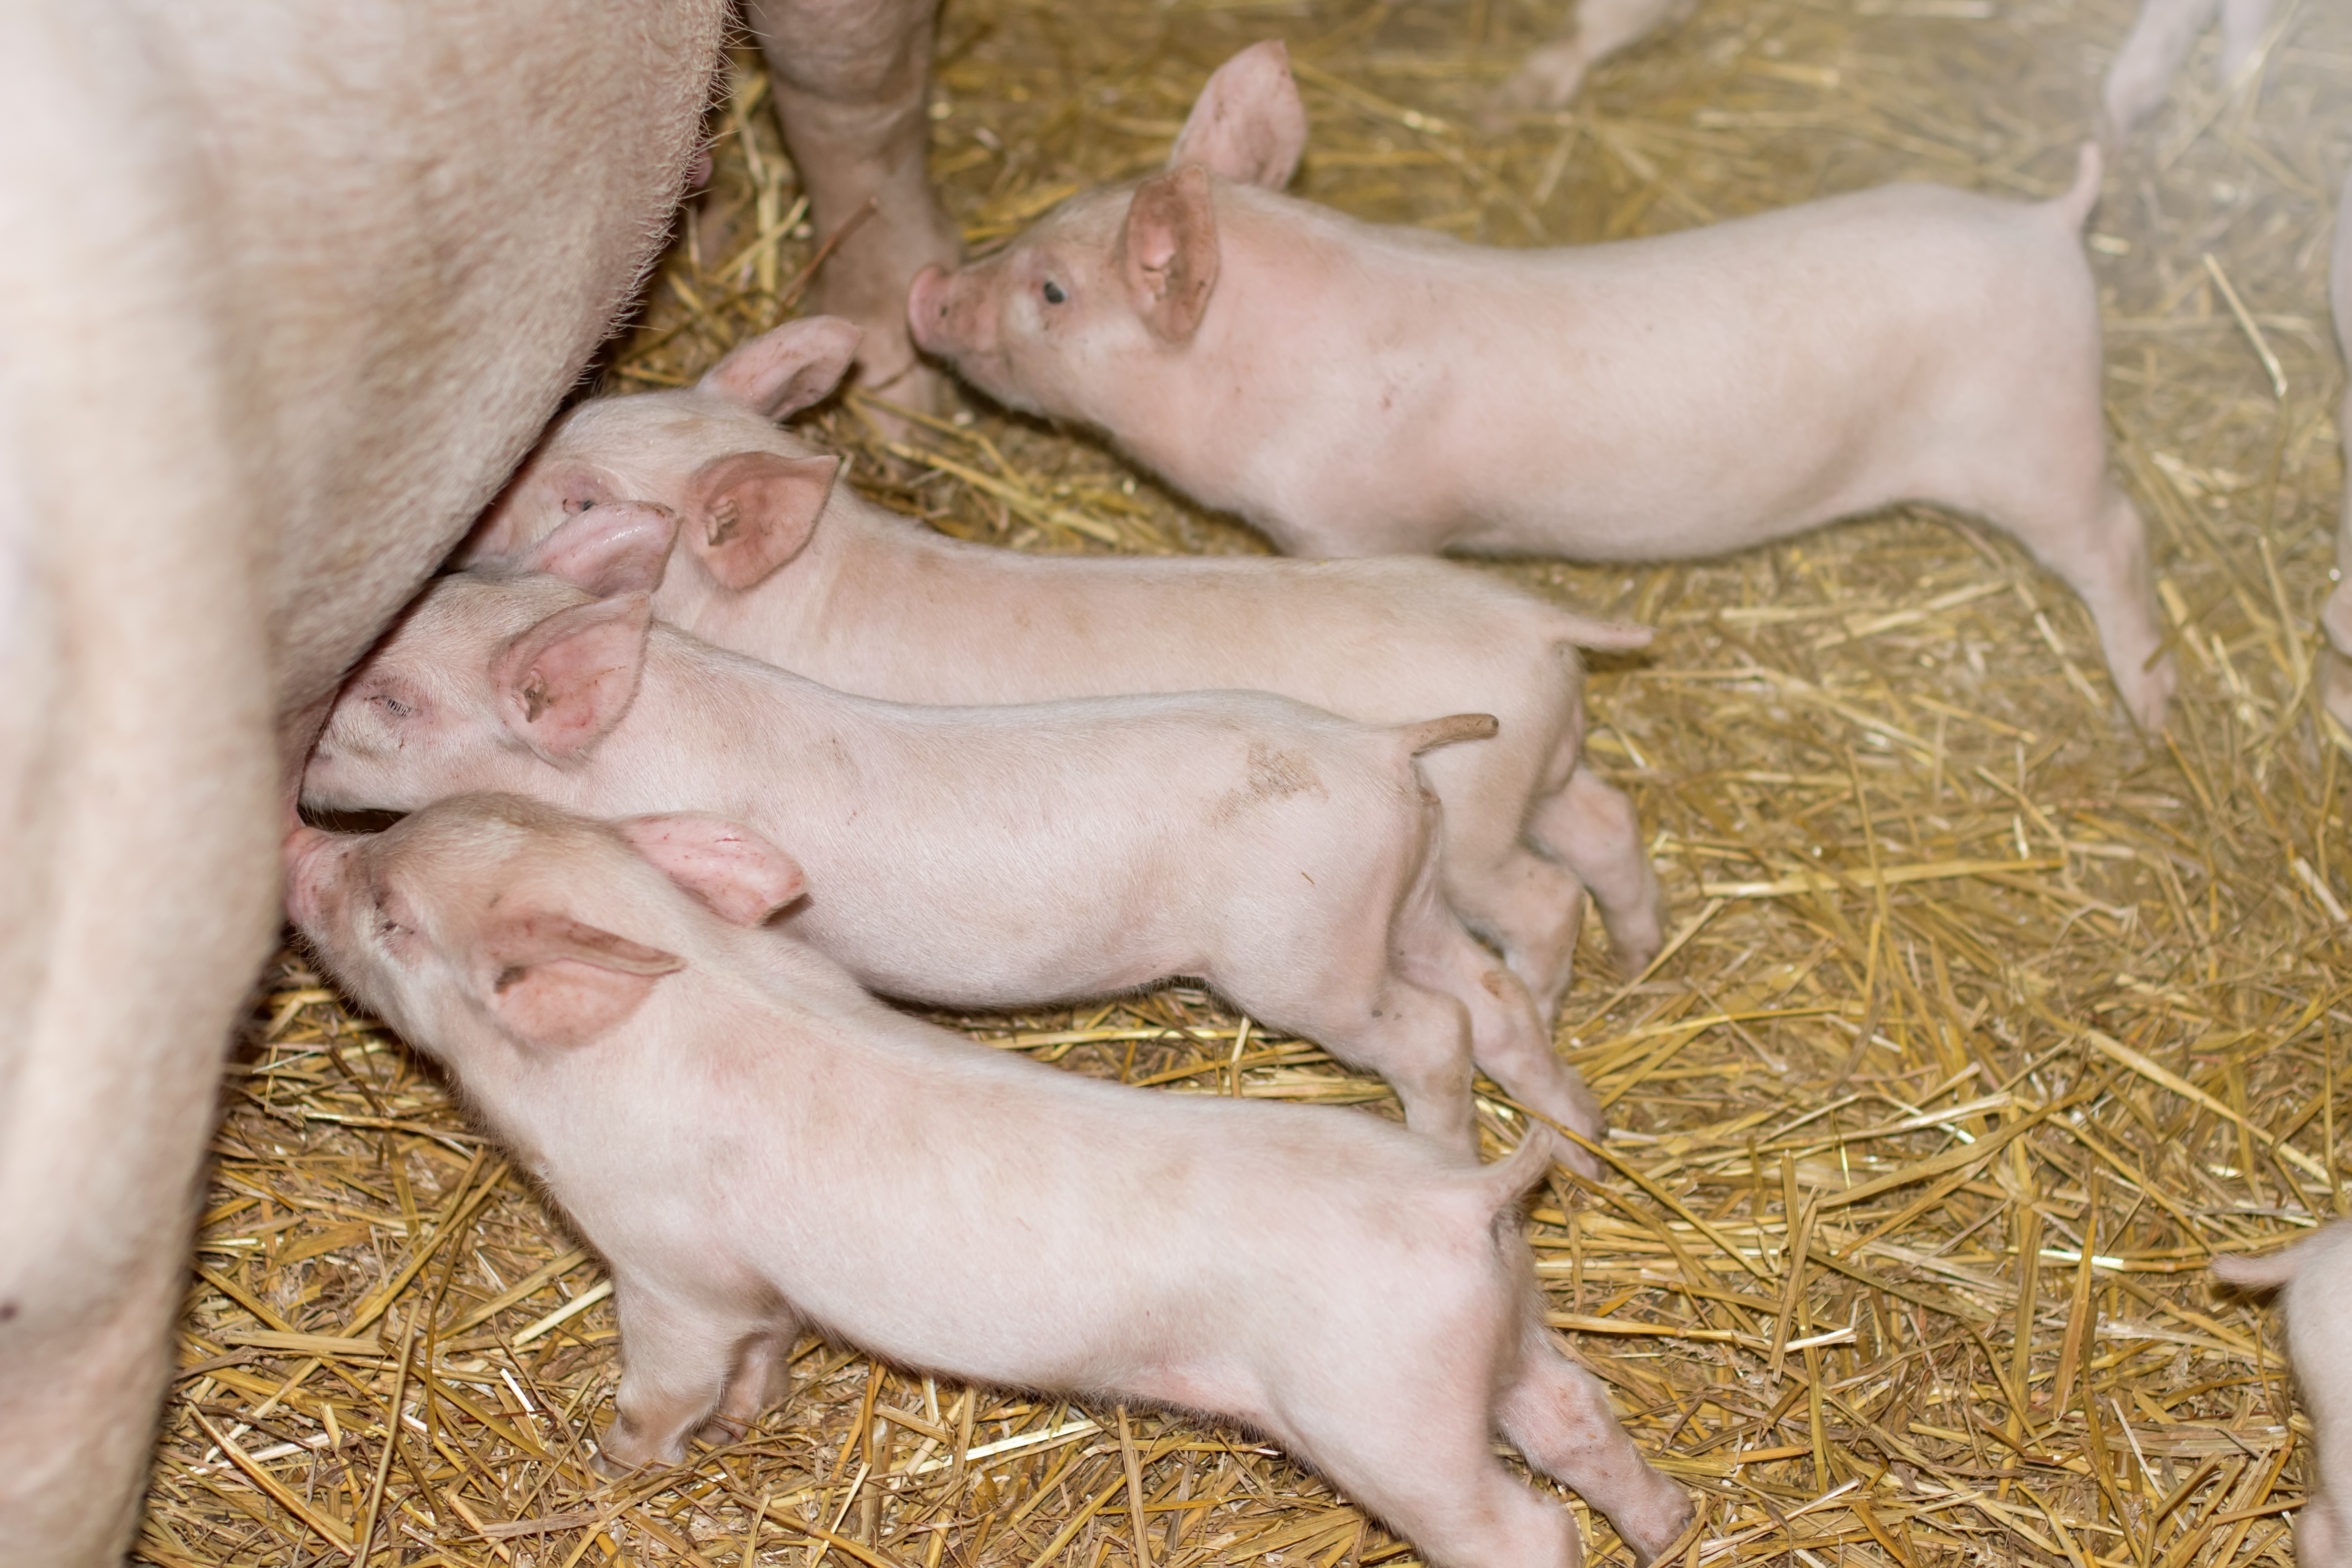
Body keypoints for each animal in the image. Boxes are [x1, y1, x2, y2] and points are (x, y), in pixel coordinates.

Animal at [283, 791, 1698, 1568]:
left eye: (396, 915)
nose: (300, 843)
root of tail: (1463, 1200)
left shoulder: (669, 1269)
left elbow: (667, 1385)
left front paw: (618, 1462)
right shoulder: (754, 1290)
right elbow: (761, 1361)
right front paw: (745, 1426)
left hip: (1386, 1418)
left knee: (1524, 1527)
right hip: (1502, 1342)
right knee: (1581, 1418)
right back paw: (1675, 1526)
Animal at [304, 523, 1611, 1162]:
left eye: (394, 699)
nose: (299, 751)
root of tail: (1385, 747)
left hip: (1304, 952)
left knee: (1433, 1030)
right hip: (1409, 899)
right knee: (1490, 991)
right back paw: (1585, 1149)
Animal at [462, 315, 1667, 1019]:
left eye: (581, 498)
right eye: (586, 410)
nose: (472, 520)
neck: (807, 592)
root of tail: (1539, 624)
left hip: (1475, 830)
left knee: (1542, 896)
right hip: (1539, 770)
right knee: (1606, 825)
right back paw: (1644, 958)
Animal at [907, 40, 2176, 732]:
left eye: (1054, 292)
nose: (927, 289)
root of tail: (2045, 225)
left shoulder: (1347, 525)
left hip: (2040, 439)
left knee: (2117, 537)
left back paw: (2149, 711)